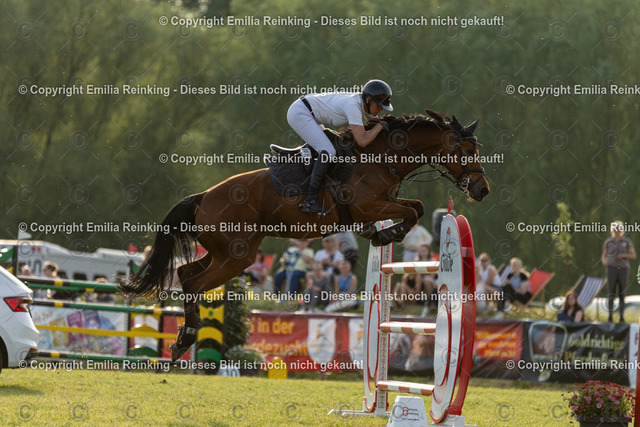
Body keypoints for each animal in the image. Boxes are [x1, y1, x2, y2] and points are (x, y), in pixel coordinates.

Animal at [120, 109, 490, 361]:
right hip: (237, 256)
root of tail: (202, 198)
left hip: (227, 252)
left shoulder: (385, 203)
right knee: (194, 283)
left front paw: (381, 234)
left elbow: (417, 207)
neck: (382, 157)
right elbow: (414, 211)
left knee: (185, 273)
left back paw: (183, 338)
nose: (483, 190)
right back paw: (187, 337)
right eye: (468, 152)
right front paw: (385, 236)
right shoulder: (370, 206)